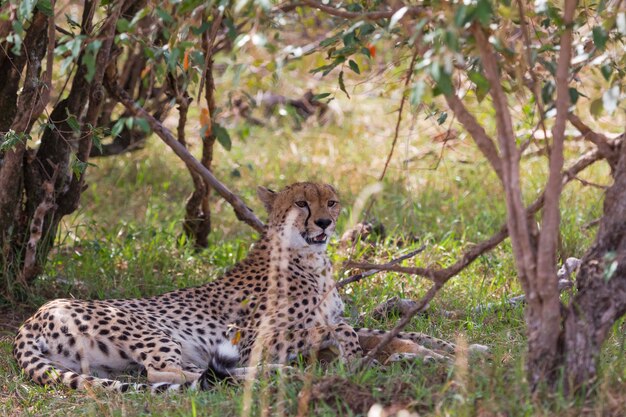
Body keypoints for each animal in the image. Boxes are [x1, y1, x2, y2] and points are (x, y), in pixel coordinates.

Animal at [13, 180, 478, 392]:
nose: (325, 222)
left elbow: (394, 333)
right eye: (302, 203)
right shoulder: (257, 336)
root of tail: (32, 318)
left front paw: (459, 349)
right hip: (152, 330)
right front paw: (359, 358)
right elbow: (339, 330)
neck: (312, 260)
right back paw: (277, 373)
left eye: (331, 201)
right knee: (177, 373)